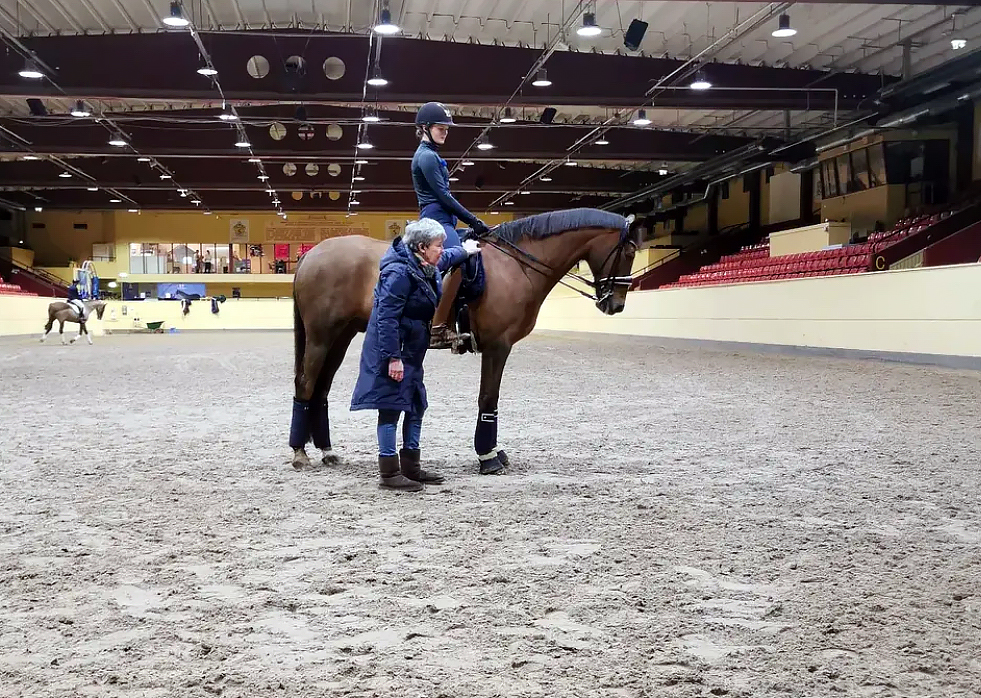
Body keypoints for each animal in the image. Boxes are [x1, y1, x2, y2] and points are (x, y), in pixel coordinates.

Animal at [290, 204, 636, 470]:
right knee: (306, 384)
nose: (616, 305)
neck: (516, 266)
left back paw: (326, 451)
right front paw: (488, 456)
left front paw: (494, 451)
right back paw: (300, 453)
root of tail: (311, 254)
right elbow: (488, 398)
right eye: (631, 251)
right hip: (321, 336)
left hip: (341, 336)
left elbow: (491, 399)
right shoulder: (498, 345)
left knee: (320, 389)